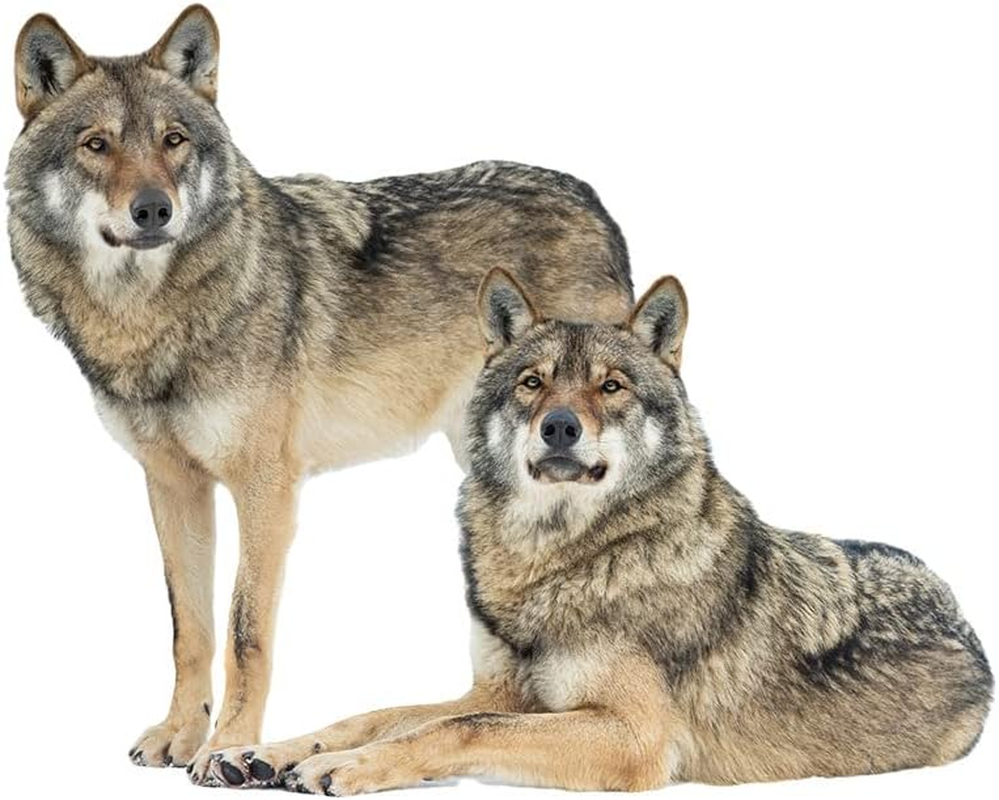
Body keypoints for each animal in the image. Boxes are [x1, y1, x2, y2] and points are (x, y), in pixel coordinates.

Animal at [6, 5, 633, 782]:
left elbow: (244, 631)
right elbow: (189, 627)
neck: (154, 319)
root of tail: (591, 199)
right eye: (97, 144)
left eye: (173, 141)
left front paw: (228, 747)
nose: (154, 210)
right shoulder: (172, 484)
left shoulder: (265, 487)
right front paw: (180, 734)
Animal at [201, 270, 991, 794]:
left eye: (610, 386)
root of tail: (960, 607)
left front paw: (342, 767)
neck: (559, 560)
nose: (559, 426)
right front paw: (267, 751)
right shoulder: (503, 691)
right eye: (533, 383)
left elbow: (453, 729)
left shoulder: (632, 737)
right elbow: (385, 713)